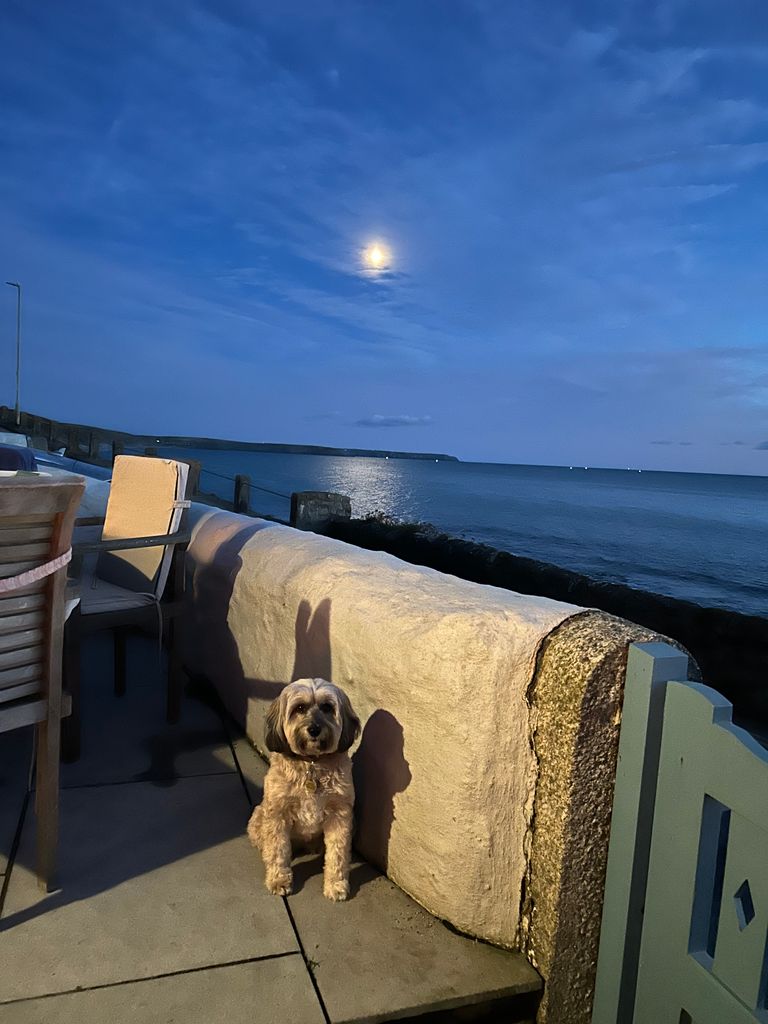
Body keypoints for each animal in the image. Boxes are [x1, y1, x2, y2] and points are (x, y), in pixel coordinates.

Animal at [249, 684, 364, 901]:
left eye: (327, 707)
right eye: (300, 708)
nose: (314, 729)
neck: (311, 762)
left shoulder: (340, 814)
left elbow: (337, 854)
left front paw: (335, 885)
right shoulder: (277, 813)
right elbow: (278, 850)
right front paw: (279, 880)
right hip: (259, 816)